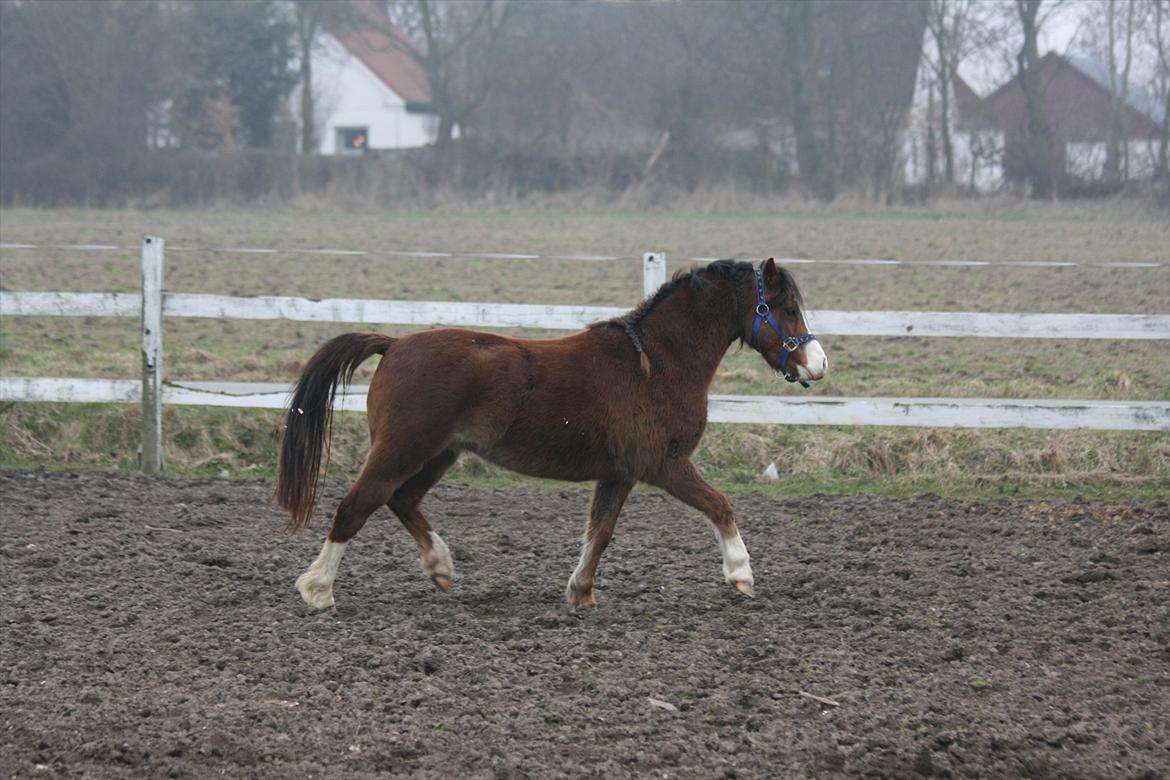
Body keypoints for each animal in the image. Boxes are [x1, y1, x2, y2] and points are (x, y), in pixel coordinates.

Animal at [276, 259, 823, 608]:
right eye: (785, 307)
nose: (818, 365)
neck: (655, 363)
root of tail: (393, 344)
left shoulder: (620, 474)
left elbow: (600, 533)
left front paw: (580, 593)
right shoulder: (664, 465)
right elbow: (720, 506)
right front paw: (741, 574)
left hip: (438, 454)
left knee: (401, 500)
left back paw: (440, 565)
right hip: (401, 450)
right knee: (355, 507)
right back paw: (318, 590)